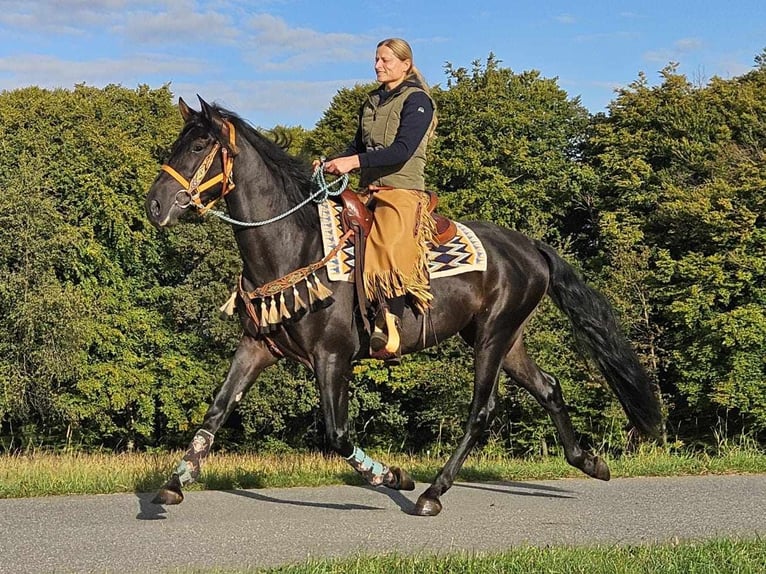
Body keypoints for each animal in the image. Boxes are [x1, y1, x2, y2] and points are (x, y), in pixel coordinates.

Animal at [147, 98, 664, 516]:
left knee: (481, 411)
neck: (295, 244)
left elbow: (338, 434)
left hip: (493, 337)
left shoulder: (332, 358)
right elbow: (215, 413)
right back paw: (589, 462)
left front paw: (394, 476)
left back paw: (433, 493)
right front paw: (175, 483)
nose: (154, 205)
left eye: (199, 145)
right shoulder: (257, 348)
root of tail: (531, 247)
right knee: (550, 388)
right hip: (505, 338)